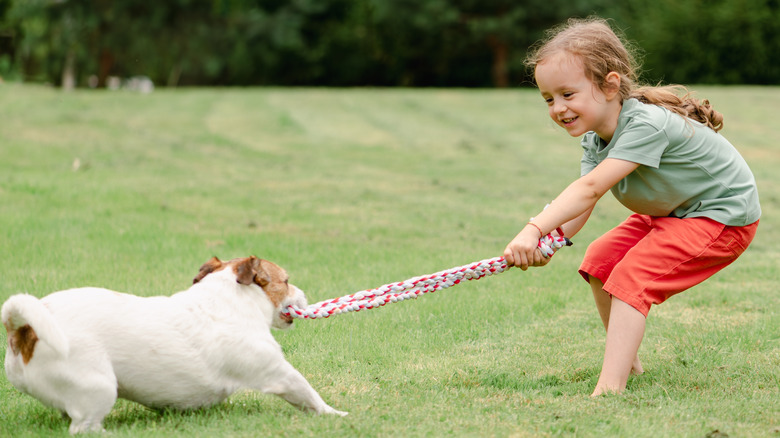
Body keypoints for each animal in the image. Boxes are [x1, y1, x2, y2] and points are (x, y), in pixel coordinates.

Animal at [0, 255, 348, 432]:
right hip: (98, 388)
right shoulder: (278, 373)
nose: (304, 295)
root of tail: (24, 330)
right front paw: (337, 415)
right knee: (83, 427)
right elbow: (310, 396)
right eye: (285, 281)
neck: (228, 301)